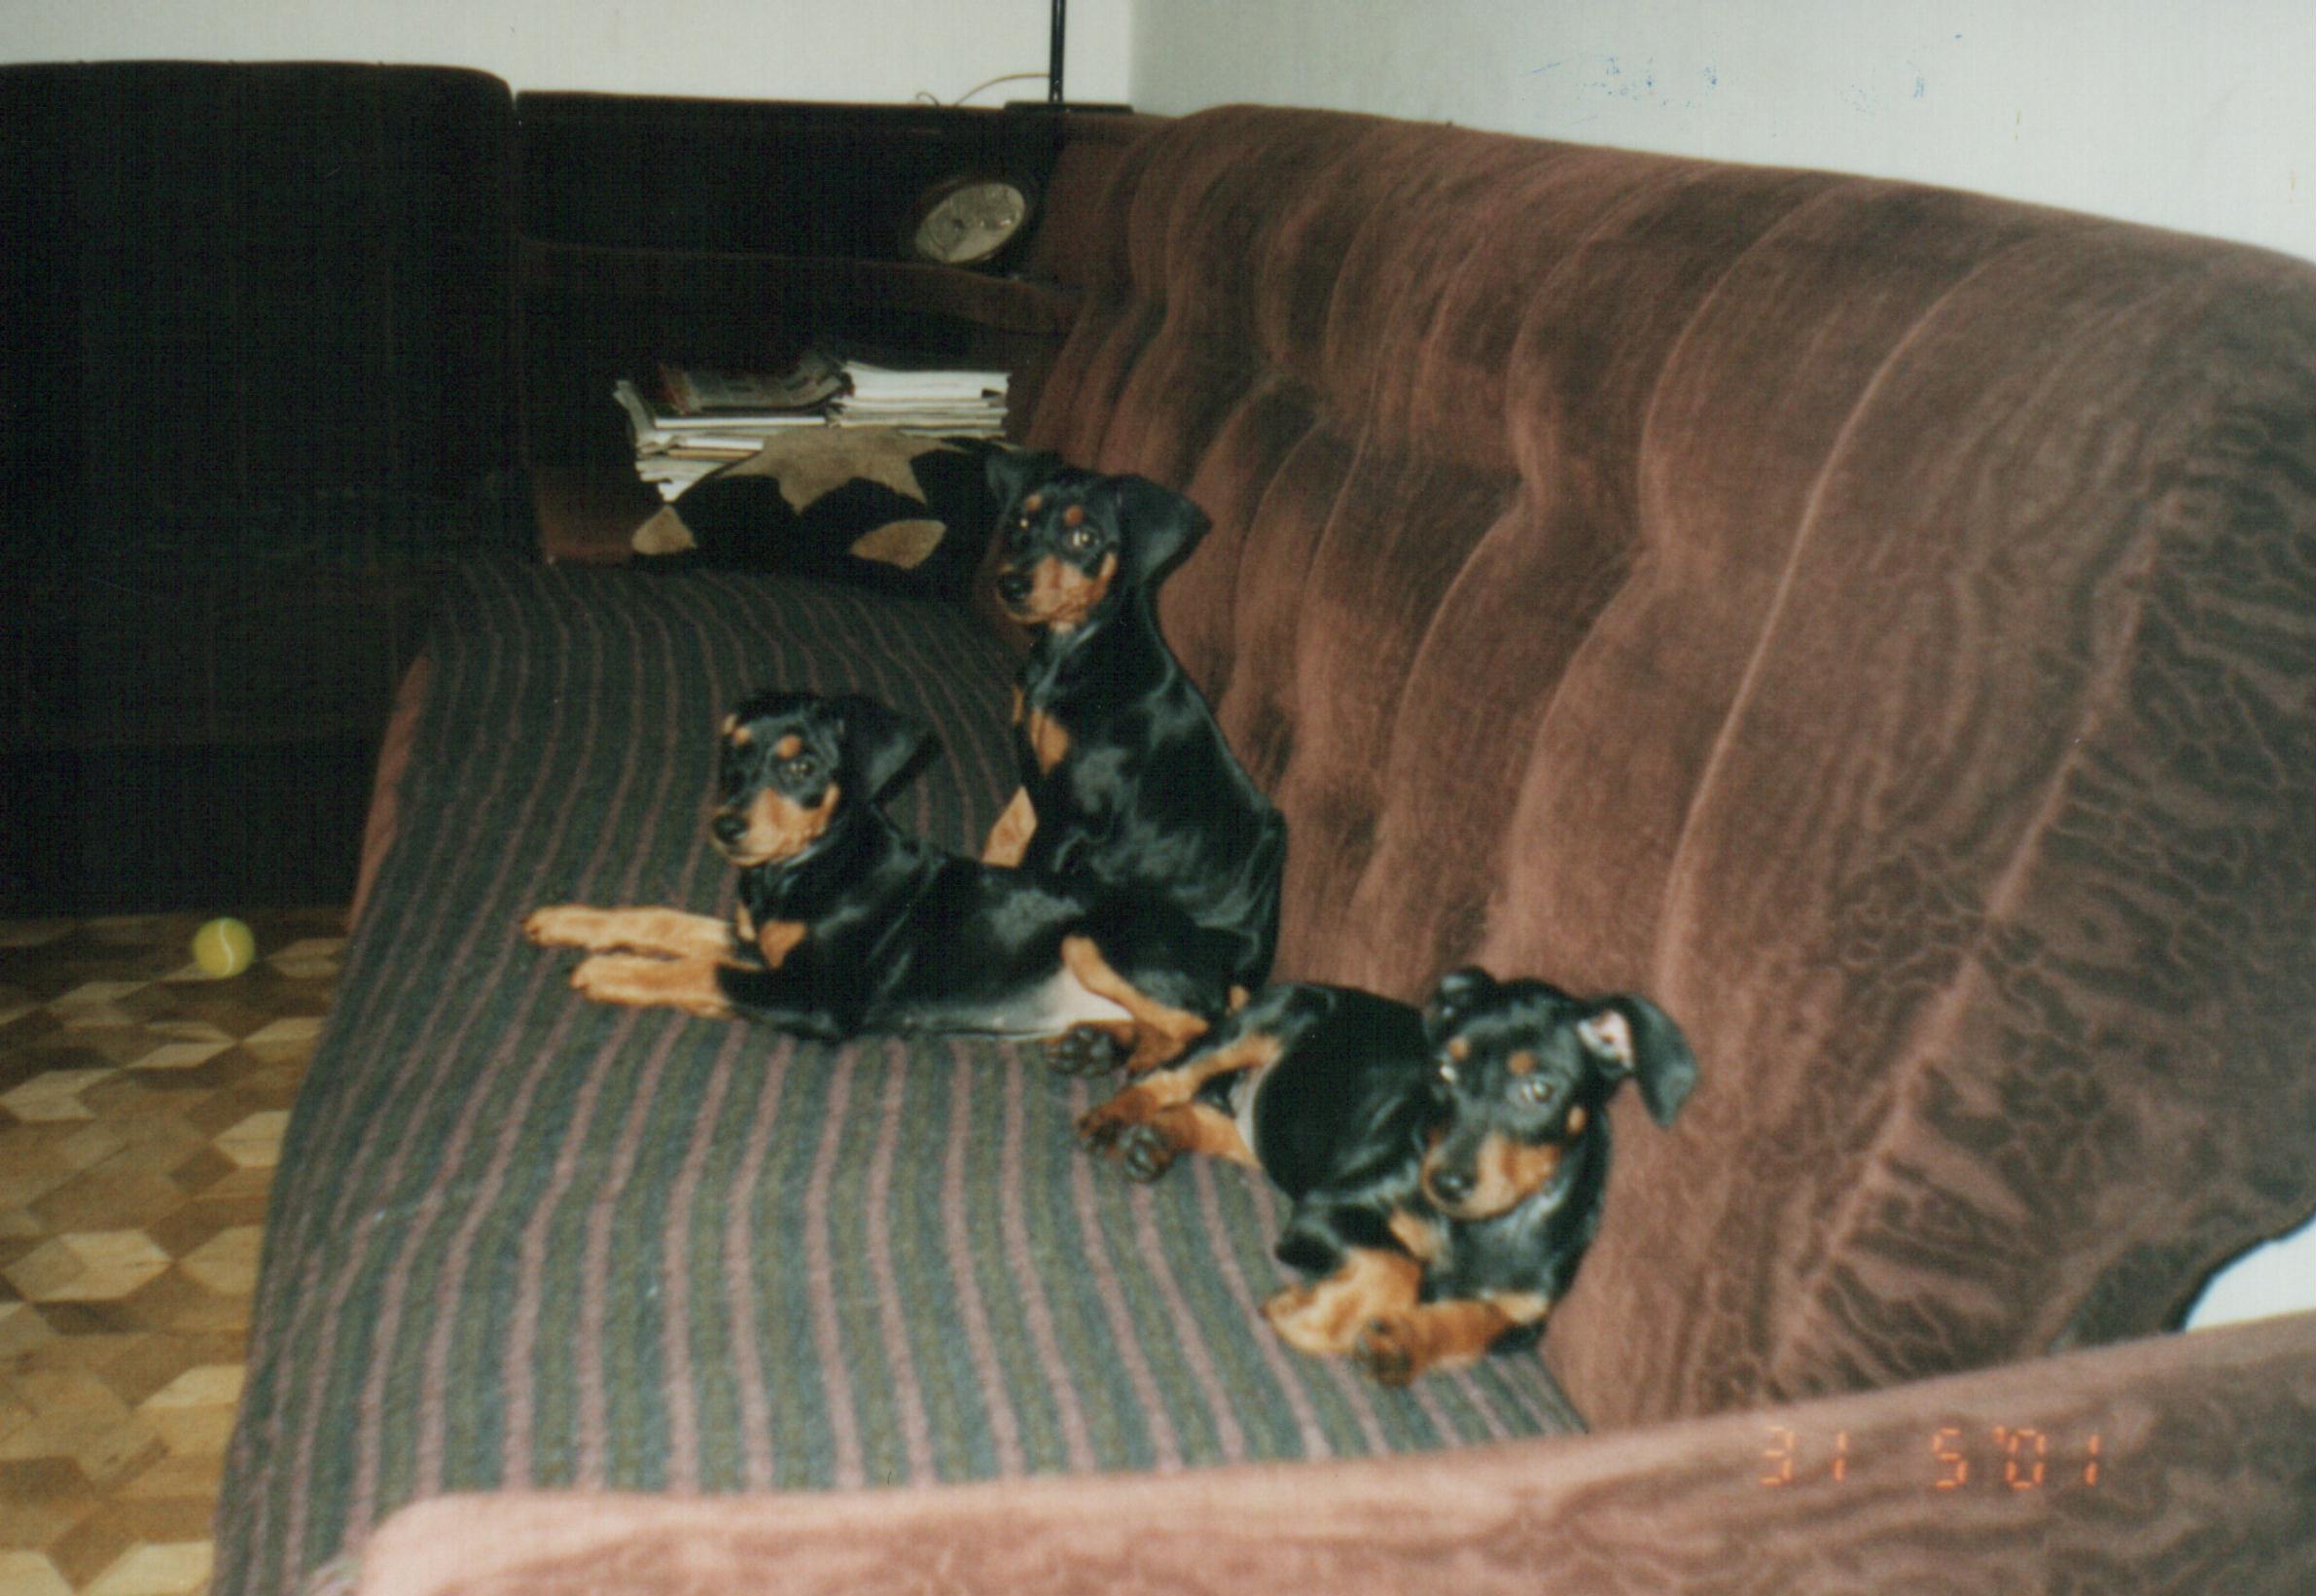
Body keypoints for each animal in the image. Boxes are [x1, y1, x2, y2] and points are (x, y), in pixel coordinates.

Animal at [524, 690, 1235, 1067]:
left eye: (801, 766)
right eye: (734, 757)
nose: (726, 827)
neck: (811, 866)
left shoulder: (818, 997)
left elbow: (704, 972)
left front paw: (611, 969)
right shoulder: (761, 942)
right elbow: (666, 920)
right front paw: (570, 920)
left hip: (1089, 940)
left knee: (1203, 1029)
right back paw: (1098, 1046)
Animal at [981, 452, 1286, 1068]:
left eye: (1084, 538)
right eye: (1020, 523)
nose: (1011, 584)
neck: (1072, 653)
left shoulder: (1074, 815)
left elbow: (1027, 875)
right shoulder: (1038, 785)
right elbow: (1001, 840)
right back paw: (1097, 1045)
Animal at [1077, 969, 1697, 1383]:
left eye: (1540, 1089)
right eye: (1443, 1070)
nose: (1444, 1183)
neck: (1481, 1227)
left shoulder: (1525, 1319)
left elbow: (1474, 1318)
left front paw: (1402, 1342)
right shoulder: (1326, 1209)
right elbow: (1401, 1267)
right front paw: (1311, 1317)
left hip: (1271, 1132)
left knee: (1217, 1120)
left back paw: (1160, 1139)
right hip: (1272, 1015)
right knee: (1173, 1072)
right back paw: (1117, 1113)